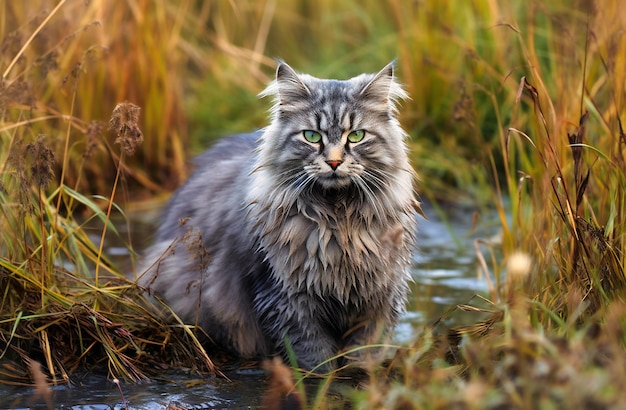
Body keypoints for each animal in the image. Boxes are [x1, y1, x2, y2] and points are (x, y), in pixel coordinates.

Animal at [138, 61, 420, 372]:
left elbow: (363, 352)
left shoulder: (380, 298)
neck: (338, 220)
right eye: (312, 136)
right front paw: (323, 377)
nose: (334, 162)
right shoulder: (285, 297)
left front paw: (359, 374)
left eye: (356, 136)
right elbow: (314, 356)